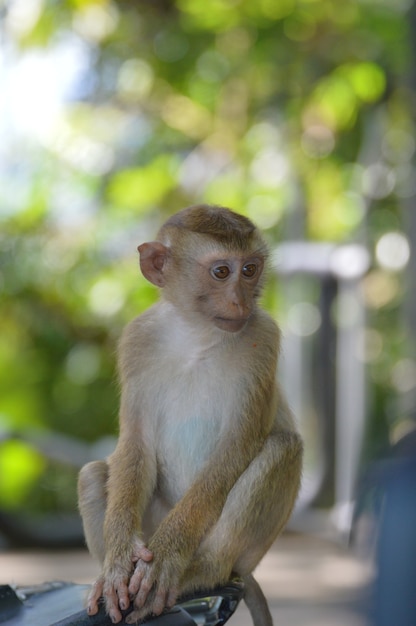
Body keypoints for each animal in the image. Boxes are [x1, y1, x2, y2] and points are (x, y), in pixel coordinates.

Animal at [78, 205, 302, 624]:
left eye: (250, 269)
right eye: (222, 272)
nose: (241, 302)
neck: (197, 333)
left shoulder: (263, 339)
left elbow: (237, 446)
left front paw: (166, 556)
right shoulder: (136, 341)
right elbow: (135, 443)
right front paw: (117, 564)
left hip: (240, 553)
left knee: (284, 447)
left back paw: (202, 571)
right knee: (93, 473)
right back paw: (104, 577)